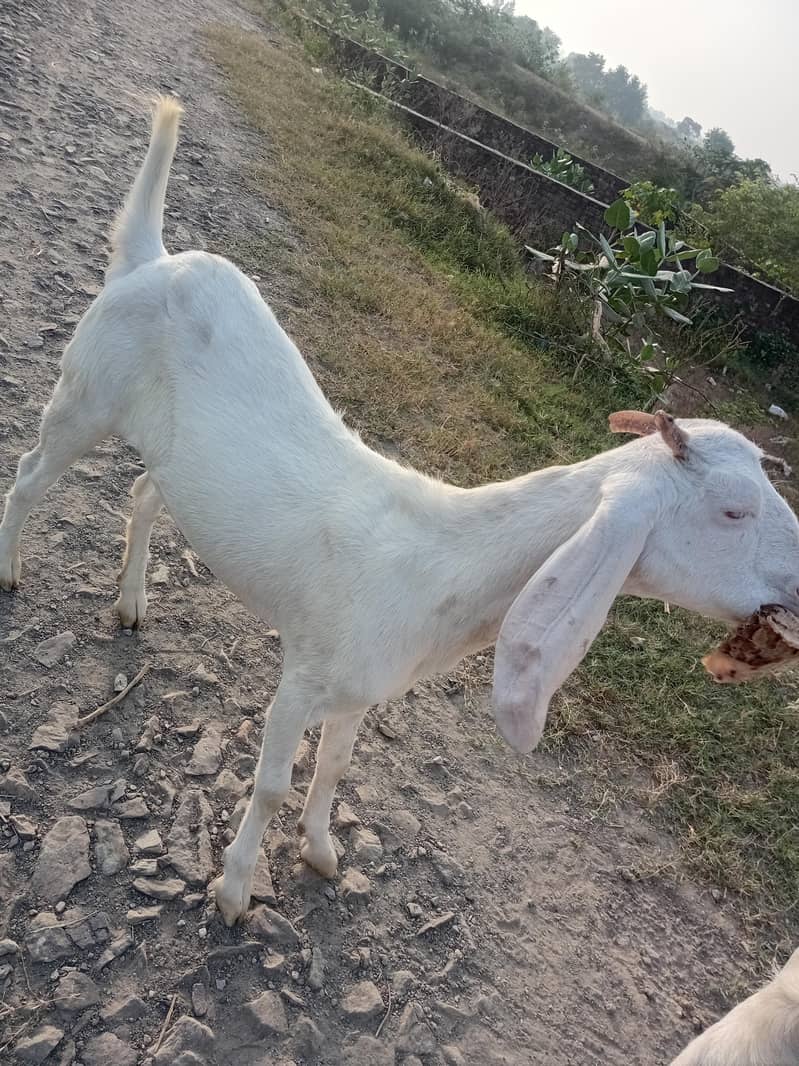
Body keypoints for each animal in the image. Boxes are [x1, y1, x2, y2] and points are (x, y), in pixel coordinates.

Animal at [1, 98, 798, 926]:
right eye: (733, 511)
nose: (796, 584)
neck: (437, 565)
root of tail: (152, 260)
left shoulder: (360, 689)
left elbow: (334, 768)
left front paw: (321, 851)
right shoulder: (305, 674)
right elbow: (273, 781)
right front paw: (233, 890)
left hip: (174, 459)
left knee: (143, 494)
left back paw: (131, 603)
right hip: (86, 393)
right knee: (30, 474)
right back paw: (11, 570)